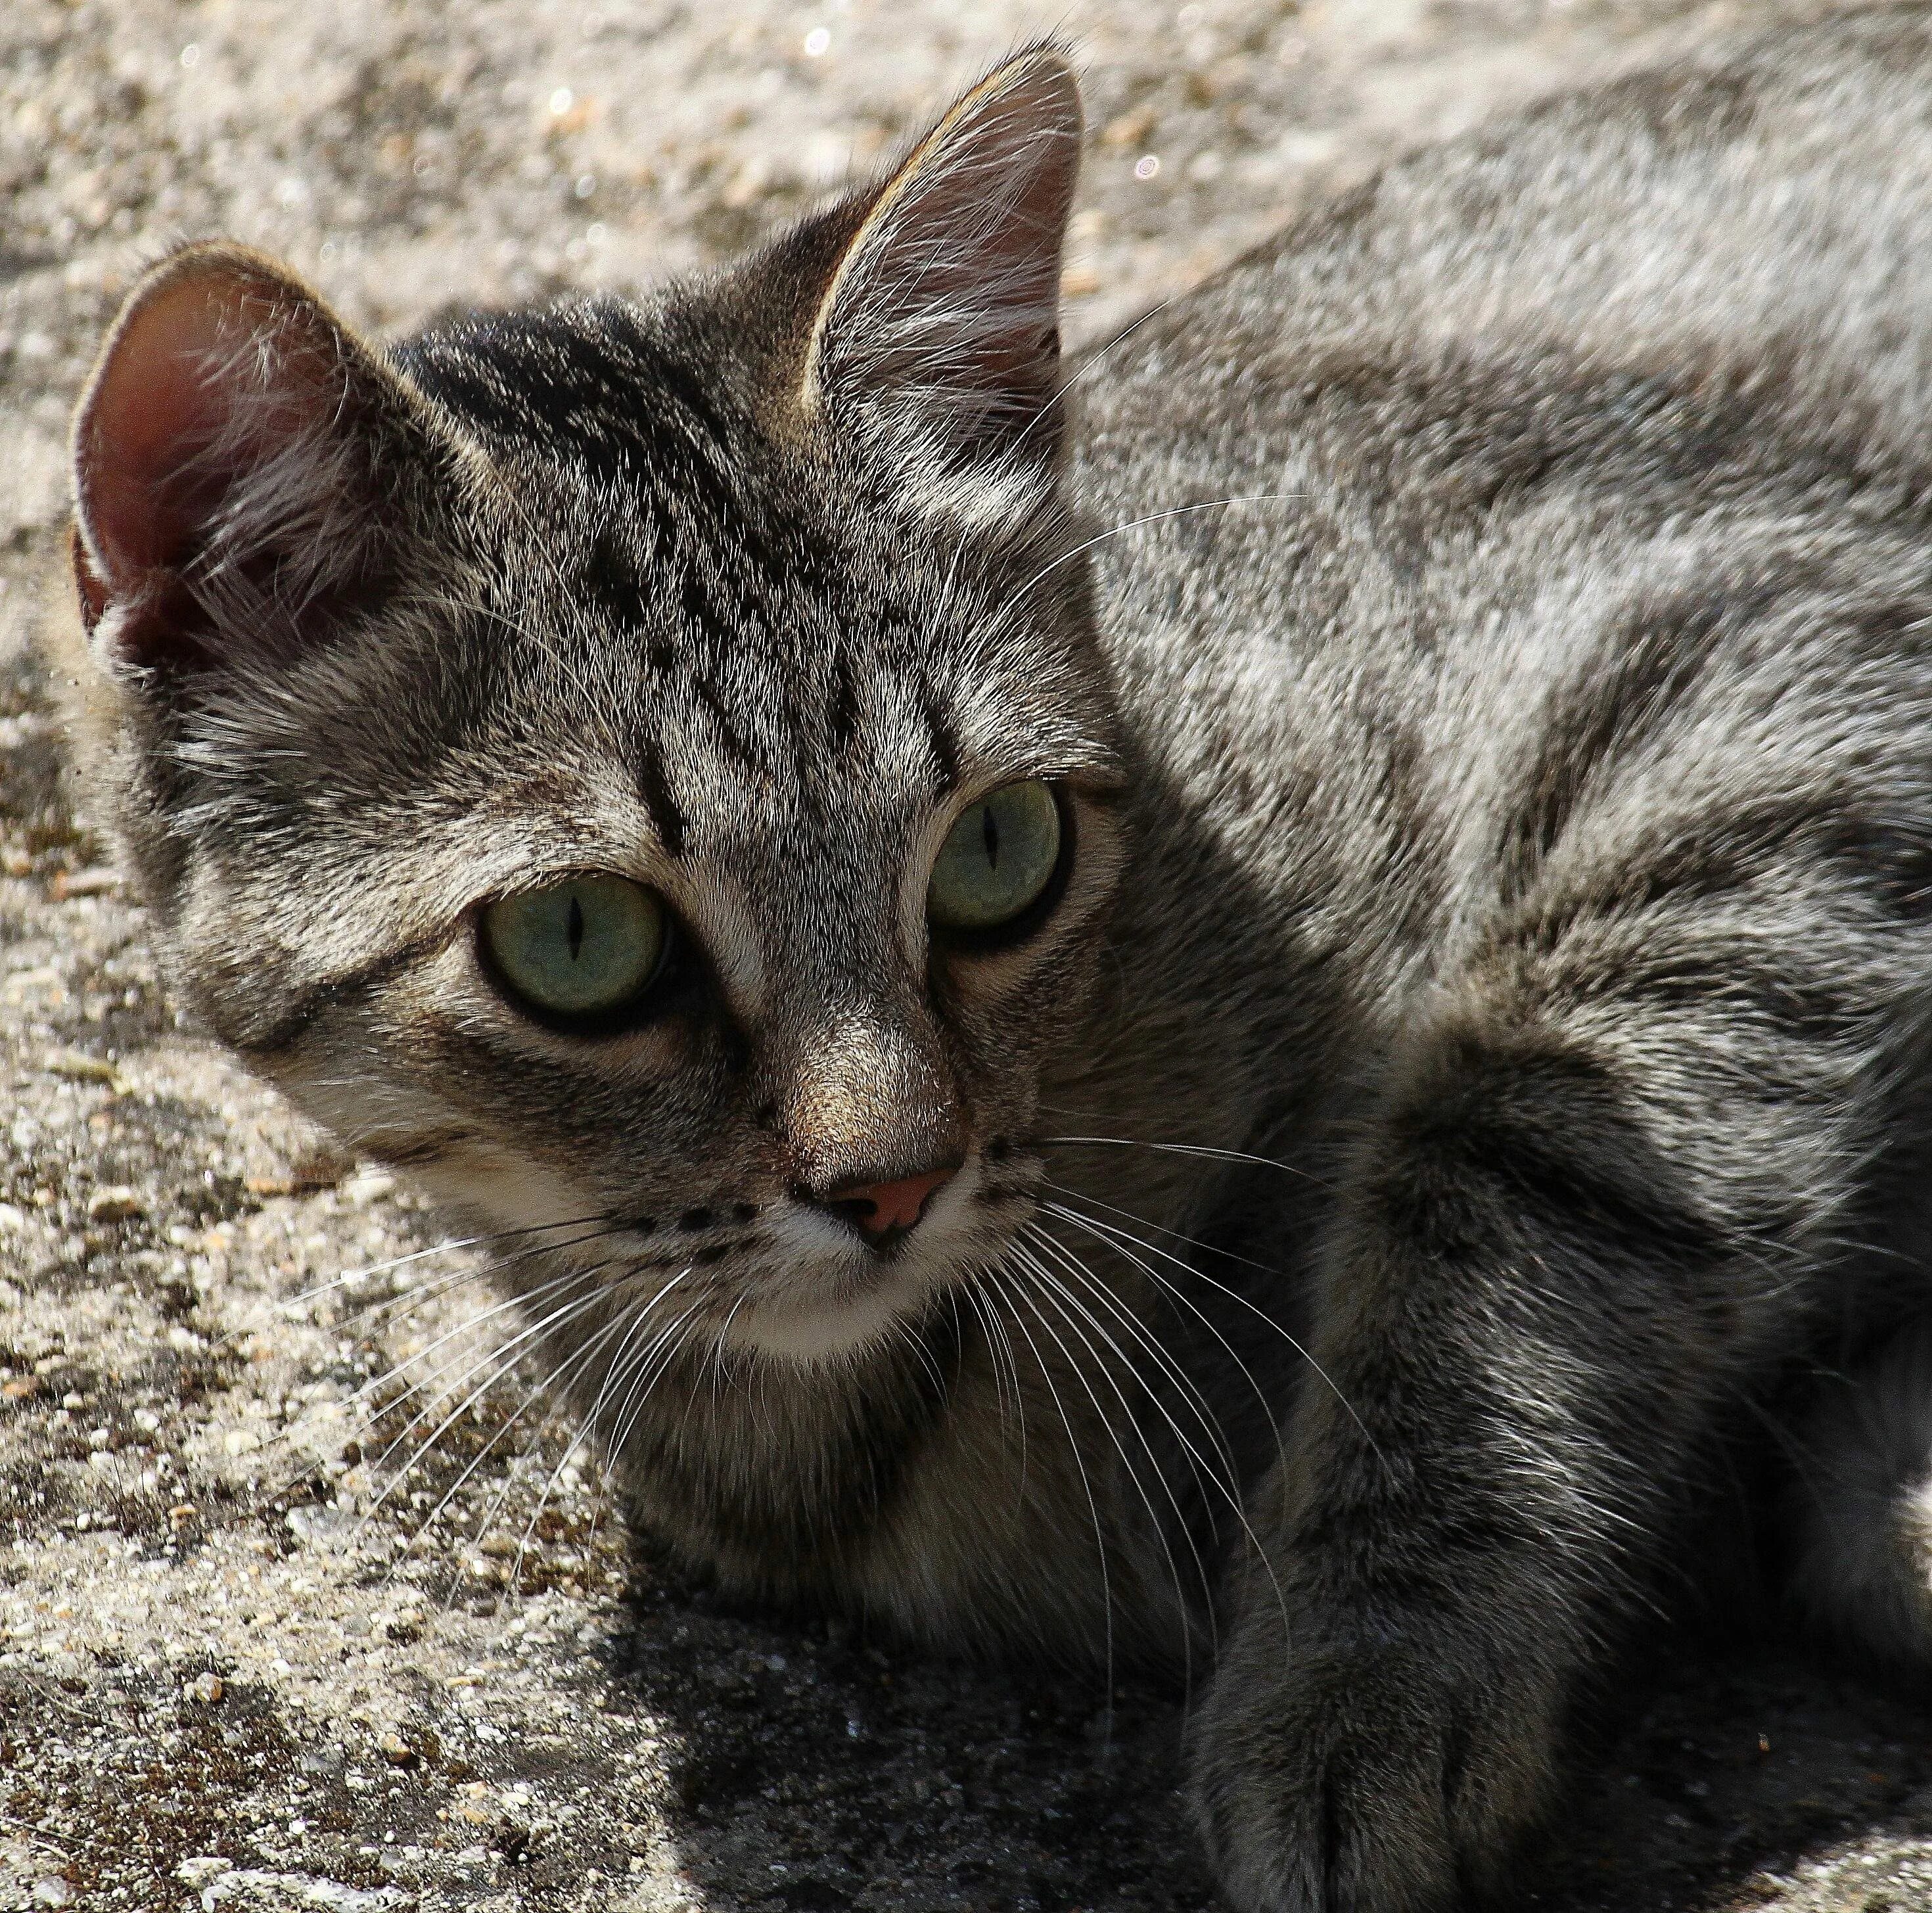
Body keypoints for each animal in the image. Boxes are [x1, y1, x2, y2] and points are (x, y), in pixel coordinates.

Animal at [53, 7, 1932, 1909]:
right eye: (577, 939)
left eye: (998, 849)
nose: (892, 1179)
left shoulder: (1767, 658)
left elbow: (1512, 1180)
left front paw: (1370, 1665)